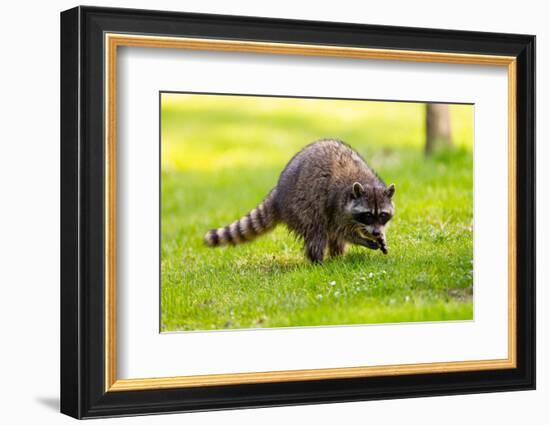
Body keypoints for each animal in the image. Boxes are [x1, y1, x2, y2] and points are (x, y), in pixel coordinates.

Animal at [205, 139, 394, 262]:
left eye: (382, 215)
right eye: (367, 215)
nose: (376, 233)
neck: (367, 182)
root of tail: (279, 192)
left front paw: (379, 236)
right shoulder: (338, 207)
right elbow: (342, 231)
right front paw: (363, 240)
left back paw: (337, 257)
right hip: (301, 206)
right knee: (317, 230)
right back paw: (318, 262)